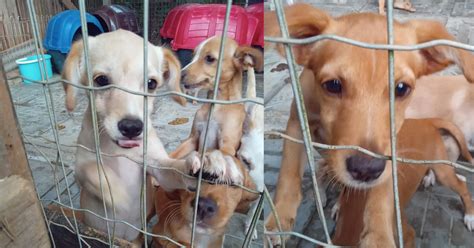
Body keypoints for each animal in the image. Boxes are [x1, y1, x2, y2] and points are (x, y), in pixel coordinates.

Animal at [61, 28, 200, 240]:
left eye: (151, 84)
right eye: (101, 80)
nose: (132, 128)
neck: (121, 151)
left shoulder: (157, 169)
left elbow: (173, 168)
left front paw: (194, 169)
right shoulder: (80, 170)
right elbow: (94, 171)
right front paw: (119, 195)